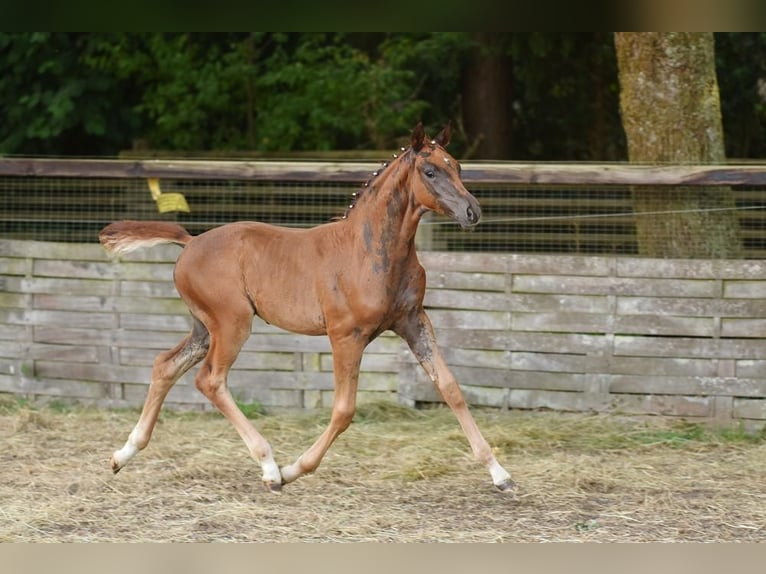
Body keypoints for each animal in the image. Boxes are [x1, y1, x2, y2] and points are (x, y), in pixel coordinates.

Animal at [99, 122, 515, 493]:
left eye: (457, 166)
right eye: (430, 171)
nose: (472, 212)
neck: (369, 251)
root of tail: (191, 241)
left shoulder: (413, 321)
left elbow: (450, 386)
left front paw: (500, 474)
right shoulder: (346, 336)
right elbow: (344, 410)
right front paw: (293, 469)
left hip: (204, 328)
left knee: (165, 366)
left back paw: (123, 454)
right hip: (232, 323)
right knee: (210, 380)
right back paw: (269, 468)